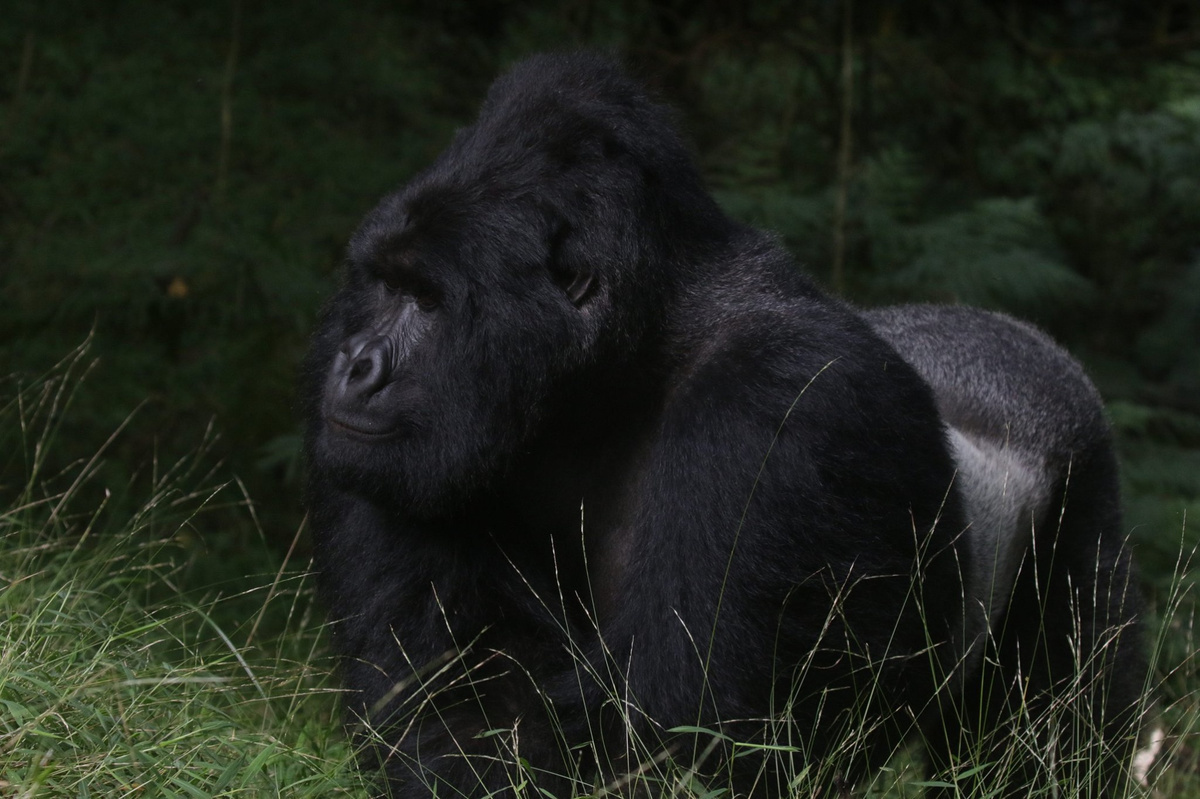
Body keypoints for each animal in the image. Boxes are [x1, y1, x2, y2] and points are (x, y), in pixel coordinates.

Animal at [304, 52, 1147, 791]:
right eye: (384, 283)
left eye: (427, 298)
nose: (355, 363)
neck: (629, 359)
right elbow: (458, 711)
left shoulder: (775, 402)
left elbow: (679, 739)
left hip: (1085, 479)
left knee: (1043, 749)